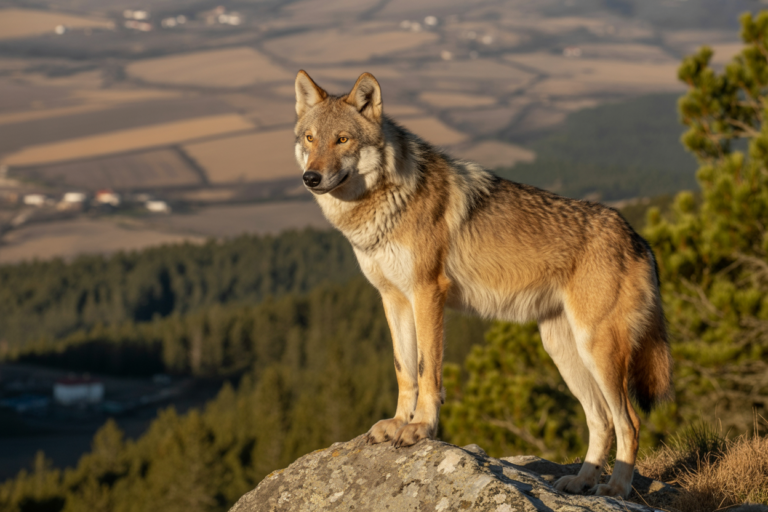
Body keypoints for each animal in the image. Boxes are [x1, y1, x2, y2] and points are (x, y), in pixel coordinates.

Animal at [293, 70, 673, 498]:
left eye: (342, 139)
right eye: (310, 138)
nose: (311, 177)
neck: (383, 202)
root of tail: (640, 239)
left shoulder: (427, 293)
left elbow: (427, 370)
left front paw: (420, 428)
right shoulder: (392, 299)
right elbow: (404, 369)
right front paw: (397, 423)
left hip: (598, 352)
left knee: (630, 423)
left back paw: (615, 489)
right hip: (564, 353)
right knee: (601, 420)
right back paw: (581, 480)